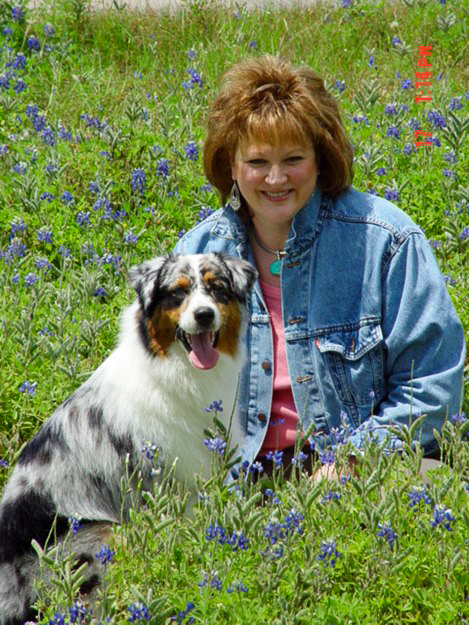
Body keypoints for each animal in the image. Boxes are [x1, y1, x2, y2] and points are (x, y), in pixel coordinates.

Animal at [0, 251, 256, 620]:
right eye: (178, 293)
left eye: (217, 288)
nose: (204, 314)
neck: (178, 372)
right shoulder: (159, 485)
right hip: (95, 535)